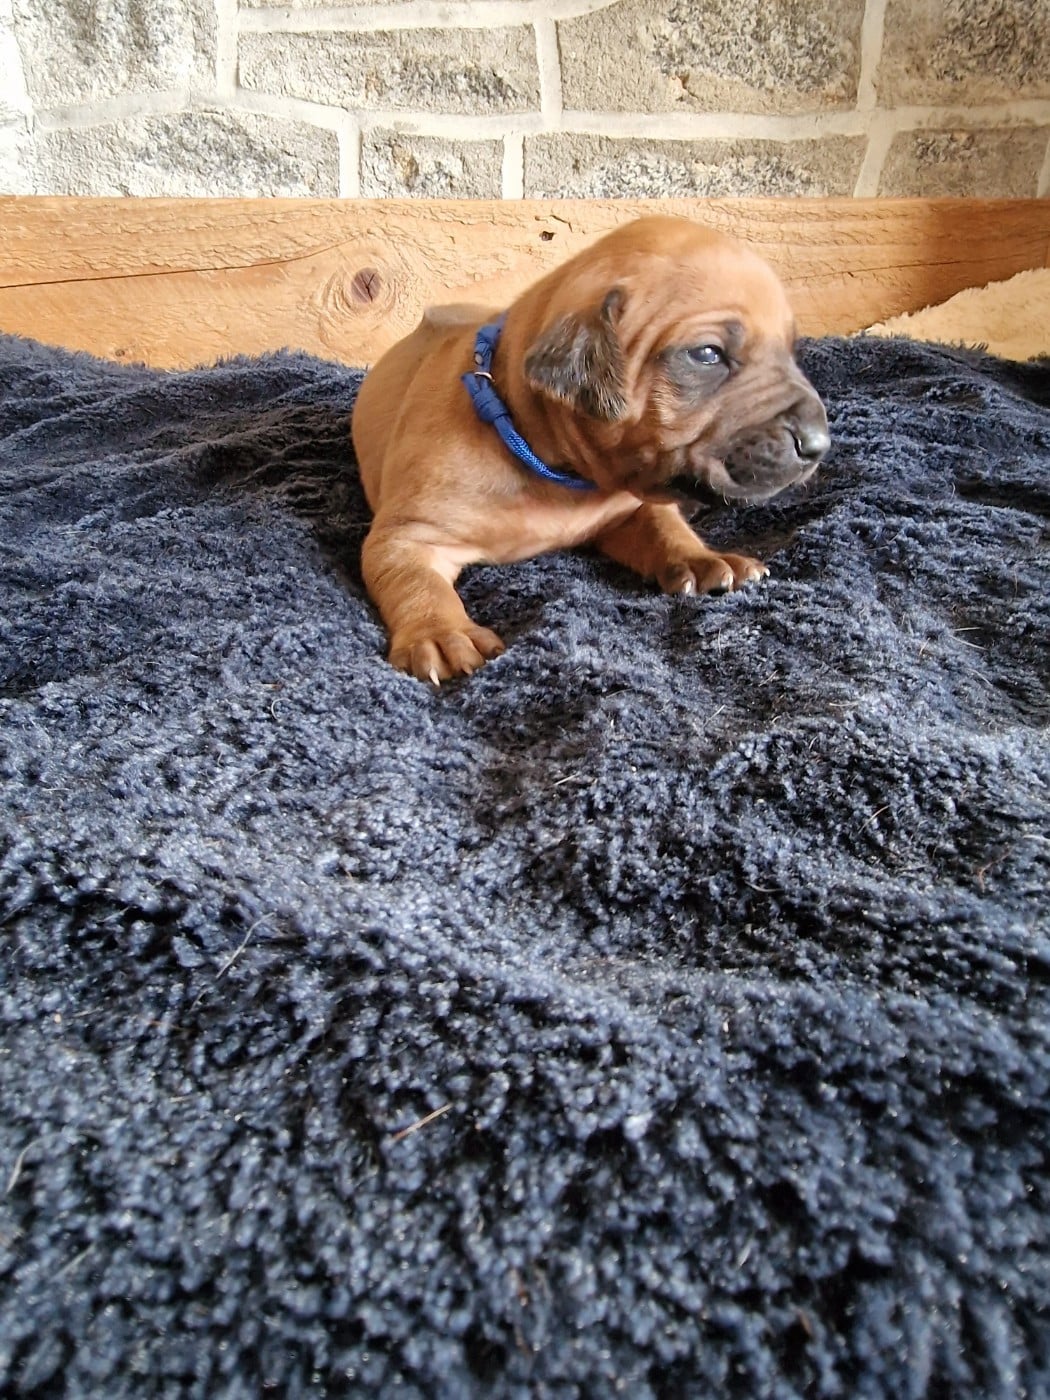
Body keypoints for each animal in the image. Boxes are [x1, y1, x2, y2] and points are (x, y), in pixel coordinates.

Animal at [351, 216, 829, 683]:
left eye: (791, 349)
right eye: (708, 354)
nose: (819, 444)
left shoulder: (628, 507)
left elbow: (662, 525)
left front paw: (702, 558)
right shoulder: (409, 533)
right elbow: (416, 580)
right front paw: (441, 633)